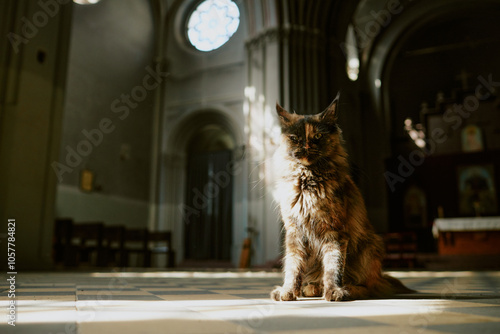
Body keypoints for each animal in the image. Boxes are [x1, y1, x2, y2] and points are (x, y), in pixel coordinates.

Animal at [270, 92, 414, 302]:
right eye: (295, 138)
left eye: (318, 136)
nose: (306, 147)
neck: (307, 181)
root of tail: (381, 277)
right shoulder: (294, 231)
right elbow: (293, 266)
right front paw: (288, 291)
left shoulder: (335, 229)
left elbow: (334, 264)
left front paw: (335, 291)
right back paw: (312, 287)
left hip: (369, 247)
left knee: (367, 287)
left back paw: (343, 289)